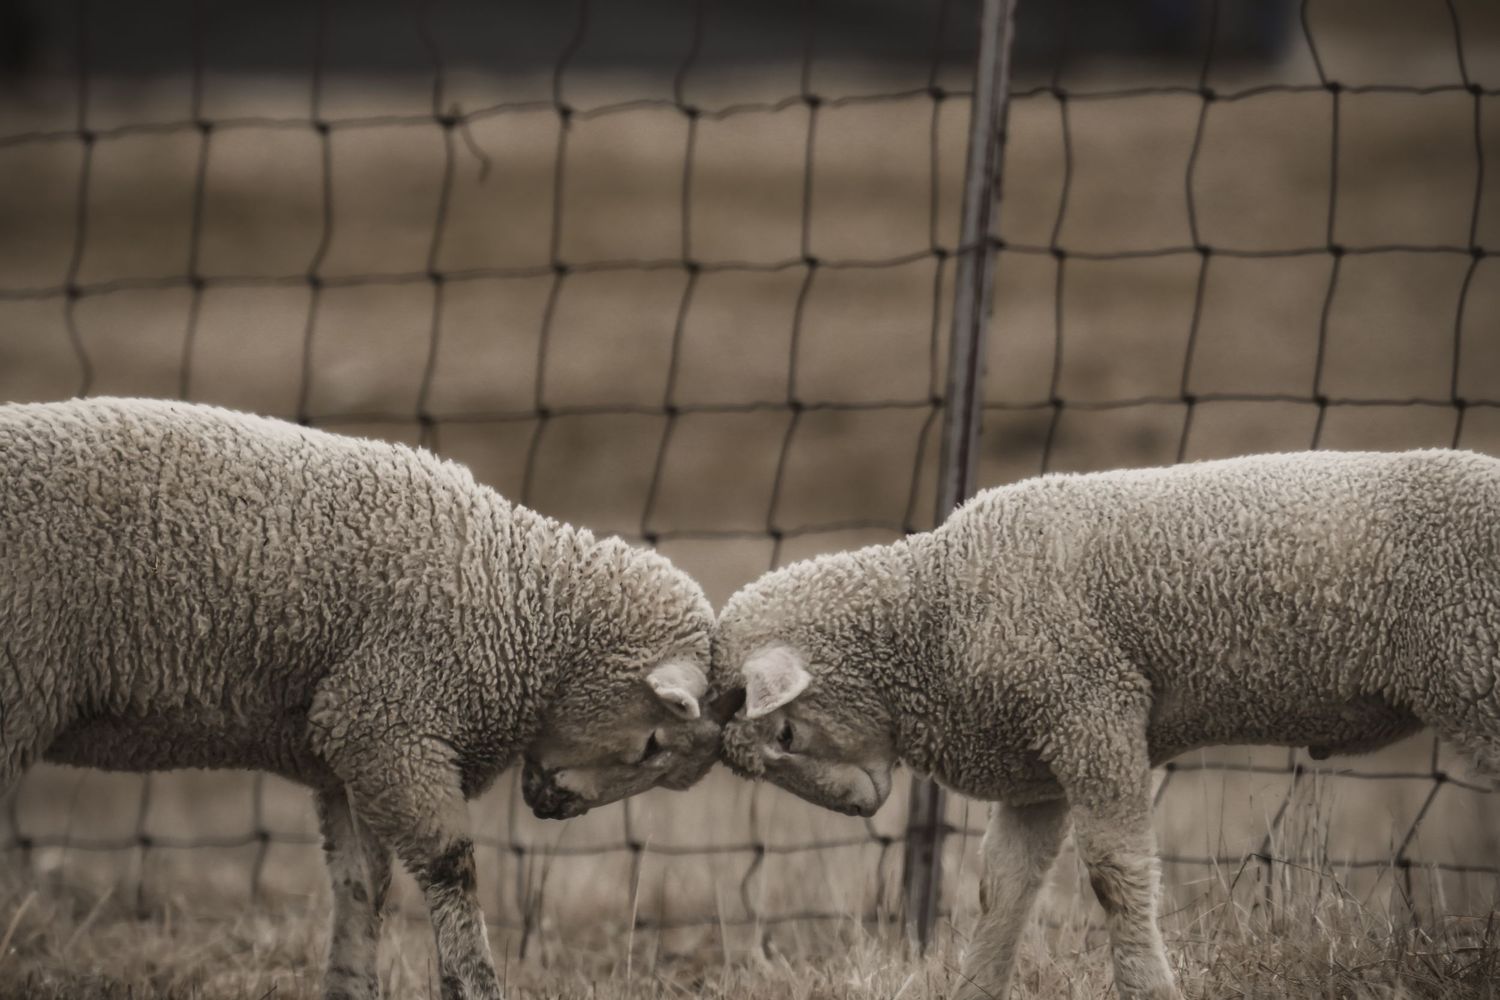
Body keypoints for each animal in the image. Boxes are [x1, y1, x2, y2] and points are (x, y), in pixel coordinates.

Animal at [0, 397, 725, 1000]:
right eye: (652, 743)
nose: (553, 810)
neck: (522, 606)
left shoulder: (346, 747)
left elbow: (359, 885)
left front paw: (351, 986)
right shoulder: (389, 726)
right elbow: (450, 868)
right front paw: (476, 983)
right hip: (17, 688)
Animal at [711, 449, 1500, 1000]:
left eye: (785, 735)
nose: (859, 809)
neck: (934, 615)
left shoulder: (1091, 709)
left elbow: (1114, 874)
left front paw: (1149, 984)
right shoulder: (1033, 768)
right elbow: (1002, 888)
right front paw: (976, 984)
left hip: (1476, 671)